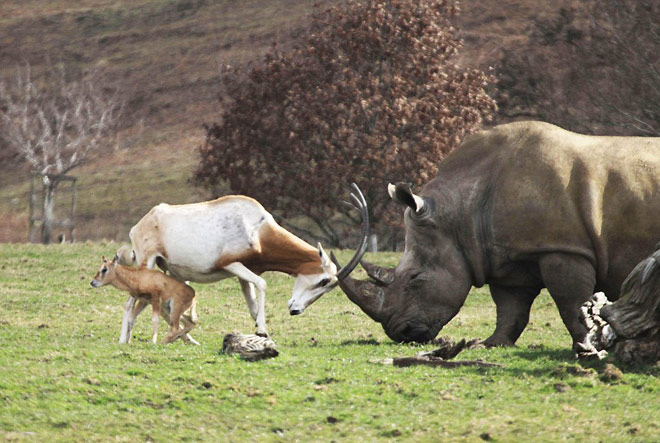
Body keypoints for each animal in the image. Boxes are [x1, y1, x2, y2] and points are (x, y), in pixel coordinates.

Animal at [116, 184, 369, 343]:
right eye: (324, 280)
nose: (295, 310)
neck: (257, 228)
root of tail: (139, 224)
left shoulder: (242, 275)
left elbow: (253, 305)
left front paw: (262, 334)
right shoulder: (231, 264)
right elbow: (263, 284)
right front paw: (263, 331)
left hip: (172, 274)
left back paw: (186, 340)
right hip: (147, 264)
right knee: (130, 303)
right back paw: (123, 341)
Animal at [335, 121, 660, 355]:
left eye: (415, 278)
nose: (400, 334)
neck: (459, 211)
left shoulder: (563, 248)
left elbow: (572, 302)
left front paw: (586, 347)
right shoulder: (505, 256)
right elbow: (510, 307)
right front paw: (488, 345)